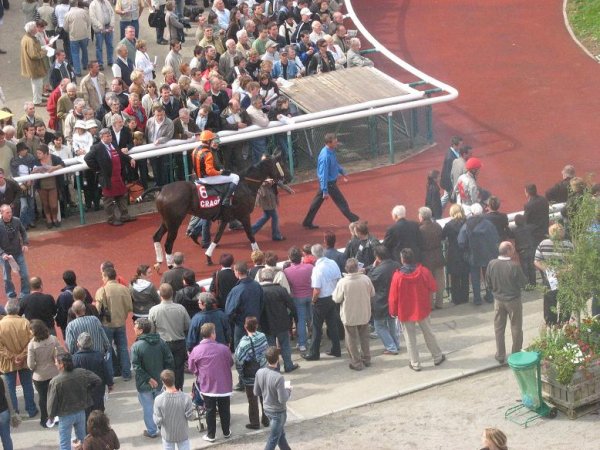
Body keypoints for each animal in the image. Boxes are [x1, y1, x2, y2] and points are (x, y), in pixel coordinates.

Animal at [152, 156, 288, 268]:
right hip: (174, 222)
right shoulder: (244, 215)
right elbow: (250, 235)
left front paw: (208, 257)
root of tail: (163, 188)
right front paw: (258, 254)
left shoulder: (225, 217)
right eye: (281, 163)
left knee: (156, 237)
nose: (286, 177)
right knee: (168, 244)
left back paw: (159, 262)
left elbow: (217, 237)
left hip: (167, 221)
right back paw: (171, 266)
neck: (245, 184)